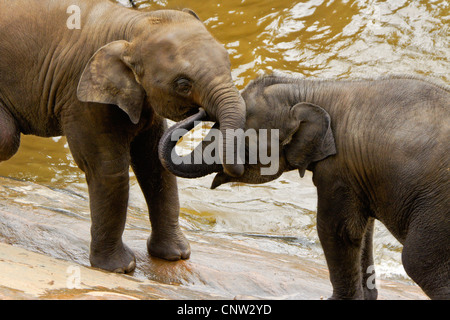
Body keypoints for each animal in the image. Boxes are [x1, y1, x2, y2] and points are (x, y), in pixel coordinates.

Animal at [0, 1, 246, 274]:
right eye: (183, 84)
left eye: (228, 62)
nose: (201, 112)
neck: (130, 25)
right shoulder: (82, 98)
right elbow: (108, 170)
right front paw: (120, 268)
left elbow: (153, 164)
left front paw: (176, 256)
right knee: (7, 139)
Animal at [161, 75, 450, 300]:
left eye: (242, 141)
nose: (199, 108)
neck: (312, 89)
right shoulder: (357, 174)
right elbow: (362, 231)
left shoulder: (338, 169)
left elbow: (338, 229)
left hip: (437, 208)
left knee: (418, 261)